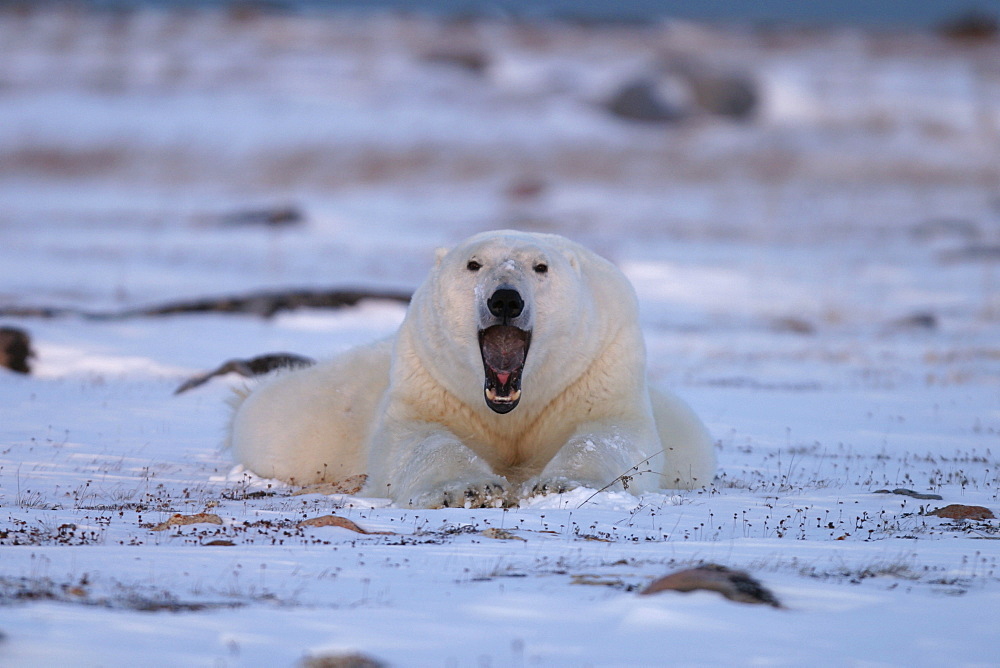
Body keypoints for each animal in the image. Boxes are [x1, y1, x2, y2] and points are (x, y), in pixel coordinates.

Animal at [229, 230, 712, 506]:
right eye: (473, 263)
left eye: (541, 266)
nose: (505, 299)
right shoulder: (430, 376)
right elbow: (420, 440)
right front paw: (471, 489)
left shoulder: (599, 364)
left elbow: (610, 434)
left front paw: (557, 485)